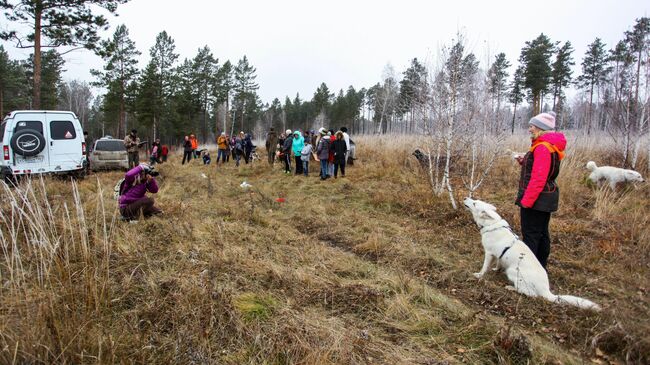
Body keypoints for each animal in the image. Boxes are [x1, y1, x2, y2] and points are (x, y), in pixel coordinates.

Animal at [460, 196, 596, 310]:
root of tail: (546, 290)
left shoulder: (488, 253)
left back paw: (511, 288)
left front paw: (479, 275)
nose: (465, 197)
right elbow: (498, 263)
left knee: (530, 294)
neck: (492, 224)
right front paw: (496, 270)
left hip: (512, 271)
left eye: (474, 203)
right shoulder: (499, 255)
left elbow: (484, 267)